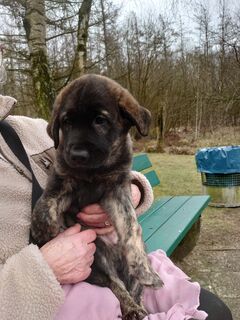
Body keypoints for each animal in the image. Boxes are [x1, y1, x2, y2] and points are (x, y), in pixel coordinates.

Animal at [31, 74, 162, 318]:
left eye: (100, 120)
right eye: (66, 122)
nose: (77, 154)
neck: (94, 172)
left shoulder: (117, 191)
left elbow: (131, 227)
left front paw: (145, 269)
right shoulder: (62, 182)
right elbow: (44, 207)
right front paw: (46, 233)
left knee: (133, 289)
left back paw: (138, 305)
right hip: (98, 260)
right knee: (115, 285)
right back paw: (131, 308)